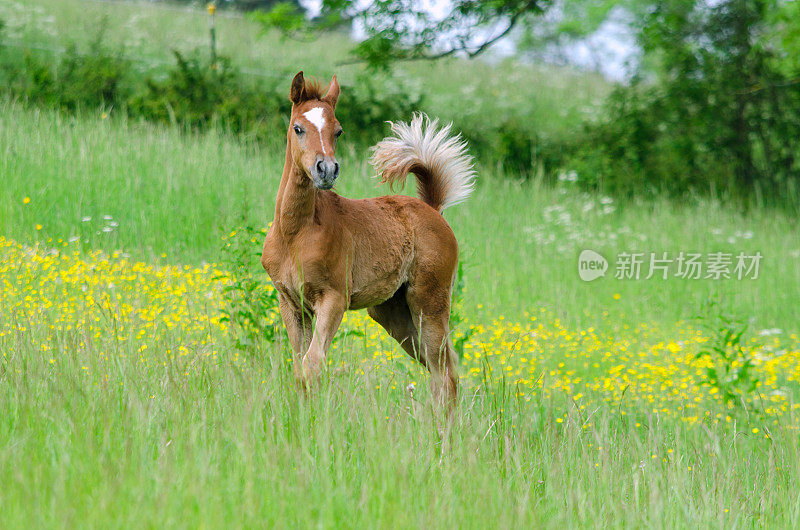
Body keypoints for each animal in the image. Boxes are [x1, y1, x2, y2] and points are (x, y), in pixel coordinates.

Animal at [262, 71, 476, 404]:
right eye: (298, 128)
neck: (294, 233)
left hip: (429, 302)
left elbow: (313, 363)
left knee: (447, 371)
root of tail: (432, 210)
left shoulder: (334, 298)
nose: (326, 170)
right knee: (436, 368)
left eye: (338, 131)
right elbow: (299, 369)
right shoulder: (291, 303)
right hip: (394, 313)